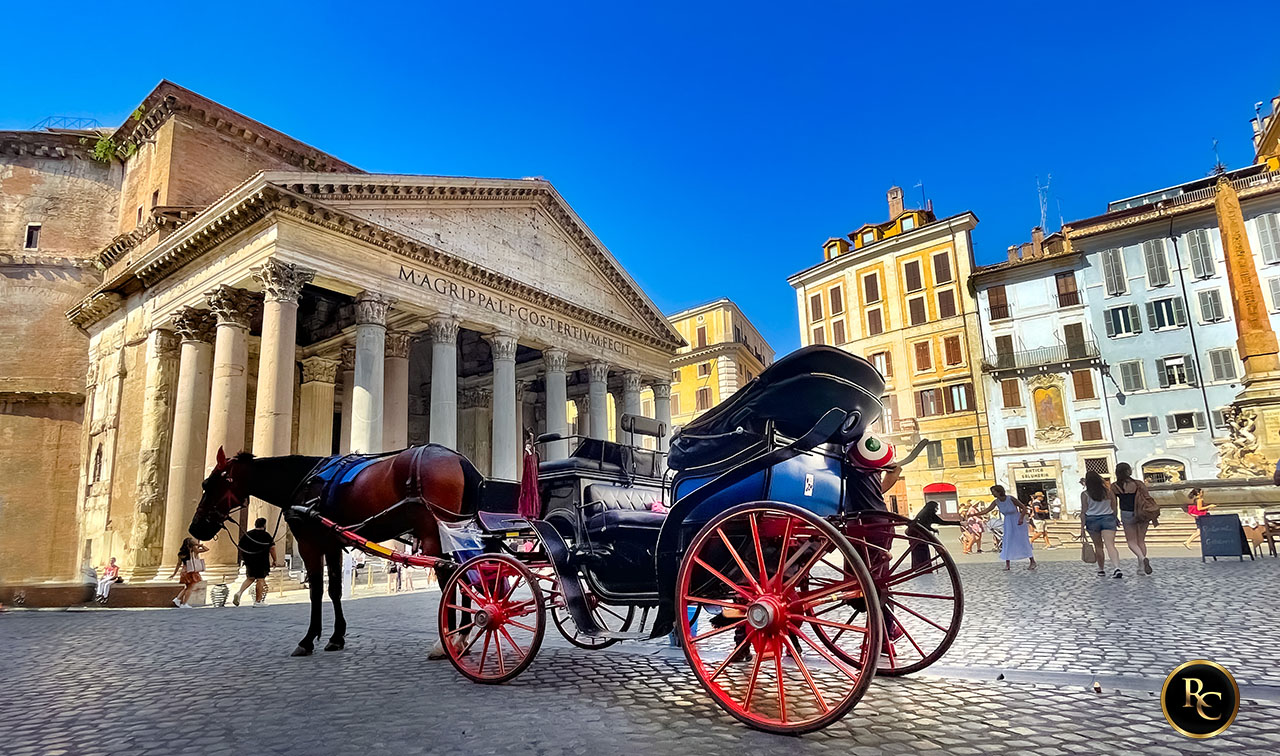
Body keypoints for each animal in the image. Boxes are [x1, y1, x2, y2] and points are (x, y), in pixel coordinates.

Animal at [189, 442, 483, 654]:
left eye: (209, 485)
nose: (195, 528)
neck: (303, 481)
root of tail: (459, 460)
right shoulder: (332, 542)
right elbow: (334, 590)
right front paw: (336, 637)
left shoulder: (310, 543)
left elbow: (317, 591)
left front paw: (308, 640)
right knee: (467, 575)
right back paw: (462, 637)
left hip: (435, 533)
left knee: (451, 578)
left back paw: (448, 642)